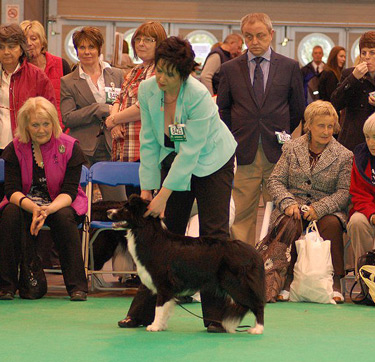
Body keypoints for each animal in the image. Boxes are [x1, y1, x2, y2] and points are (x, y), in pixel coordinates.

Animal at [108, 195, 268, 334]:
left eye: (126, 209)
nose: (108, 211)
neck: (148, 233)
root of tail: (254, 253)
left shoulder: (164, 283)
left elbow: (159, 307)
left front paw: (154, 326)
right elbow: (166, 307)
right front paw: (162, 325)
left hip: (235, 283)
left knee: (257, 303)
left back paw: (258, 329)